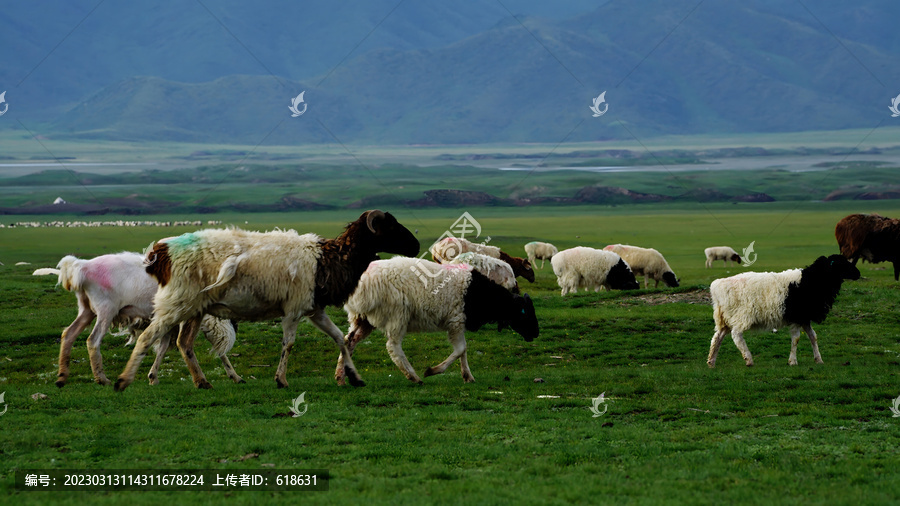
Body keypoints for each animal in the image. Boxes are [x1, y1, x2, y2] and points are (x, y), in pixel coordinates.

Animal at [34, 253, 239, 388]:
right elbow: (184, 345)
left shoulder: (167, 320)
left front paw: (153, 377)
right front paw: (231, 375)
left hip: (86, 309)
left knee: (68, 334)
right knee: (93, 340)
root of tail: (81, 267)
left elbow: (163, 346)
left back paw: (62, 377)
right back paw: (102, 379)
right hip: (106, 309)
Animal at [114, 210, 420, 392]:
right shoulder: (294, 309)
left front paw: (353, 377)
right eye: (390, 225)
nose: (416, 245)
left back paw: (202, 382)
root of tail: (161, 251)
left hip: (195, 309)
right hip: (177, 303)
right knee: (149, 337)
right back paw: (123, 380)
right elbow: (289, 343)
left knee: (183, 343)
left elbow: (340, 339)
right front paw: (281, 379)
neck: (327, 259)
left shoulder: (314, 309)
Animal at [334, 256, 536, 384]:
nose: (535, 334)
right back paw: (413, 376)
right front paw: (433, 370)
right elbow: (460, 349)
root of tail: (363, 285)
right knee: (393, 347)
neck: (481, 293)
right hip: (396, 315)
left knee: (349, 341)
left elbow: (463, 350)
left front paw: (468, 376)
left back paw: (341, 376)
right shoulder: (456, 321)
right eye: (524, 312)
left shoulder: (459, 323)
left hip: (362, 319)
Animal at [708, 253, 860, 368]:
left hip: (725, 318)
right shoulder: (797, 317)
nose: (858, 273)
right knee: (736, 335)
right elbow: (796, 338)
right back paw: (748, 359)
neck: (812, 281)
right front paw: (793, 361)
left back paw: (711, 361)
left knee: (717, 337)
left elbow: (813, 336)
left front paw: (818, 359)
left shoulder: (804, 317)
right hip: (741, 315)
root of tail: (717, 287)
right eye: (842, 264)